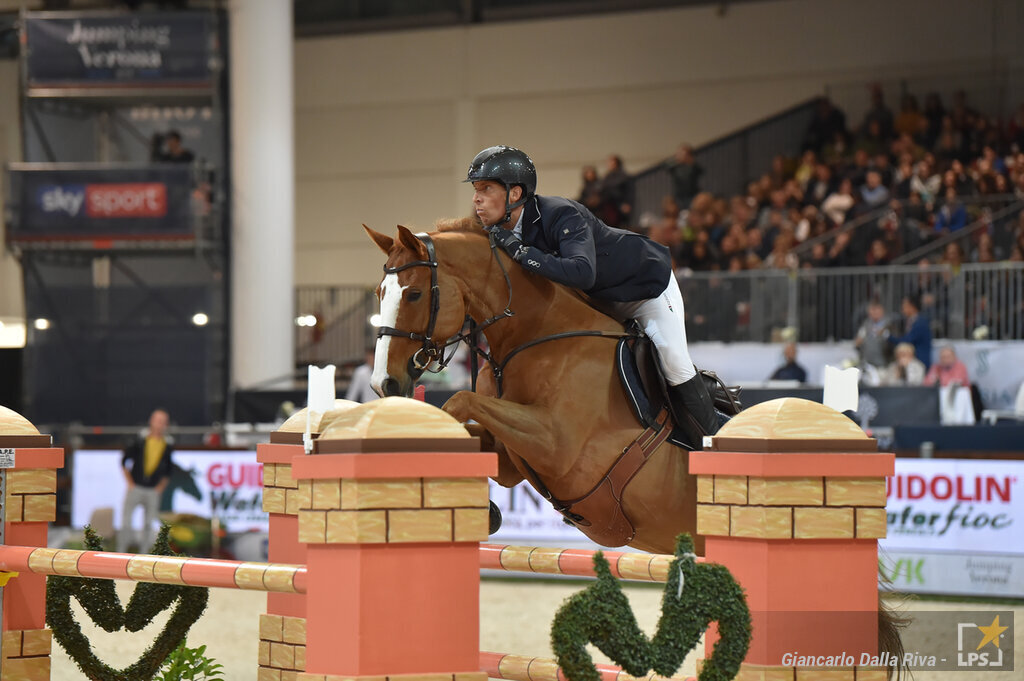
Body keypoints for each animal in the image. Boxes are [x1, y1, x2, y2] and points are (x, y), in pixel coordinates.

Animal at [366, 220, 696, 557]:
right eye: (379, 293)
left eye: (414, 294)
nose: (383, 383)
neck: (536, 333)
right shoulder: (511, 458)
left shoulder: (557, 447)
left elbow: (459, 401)